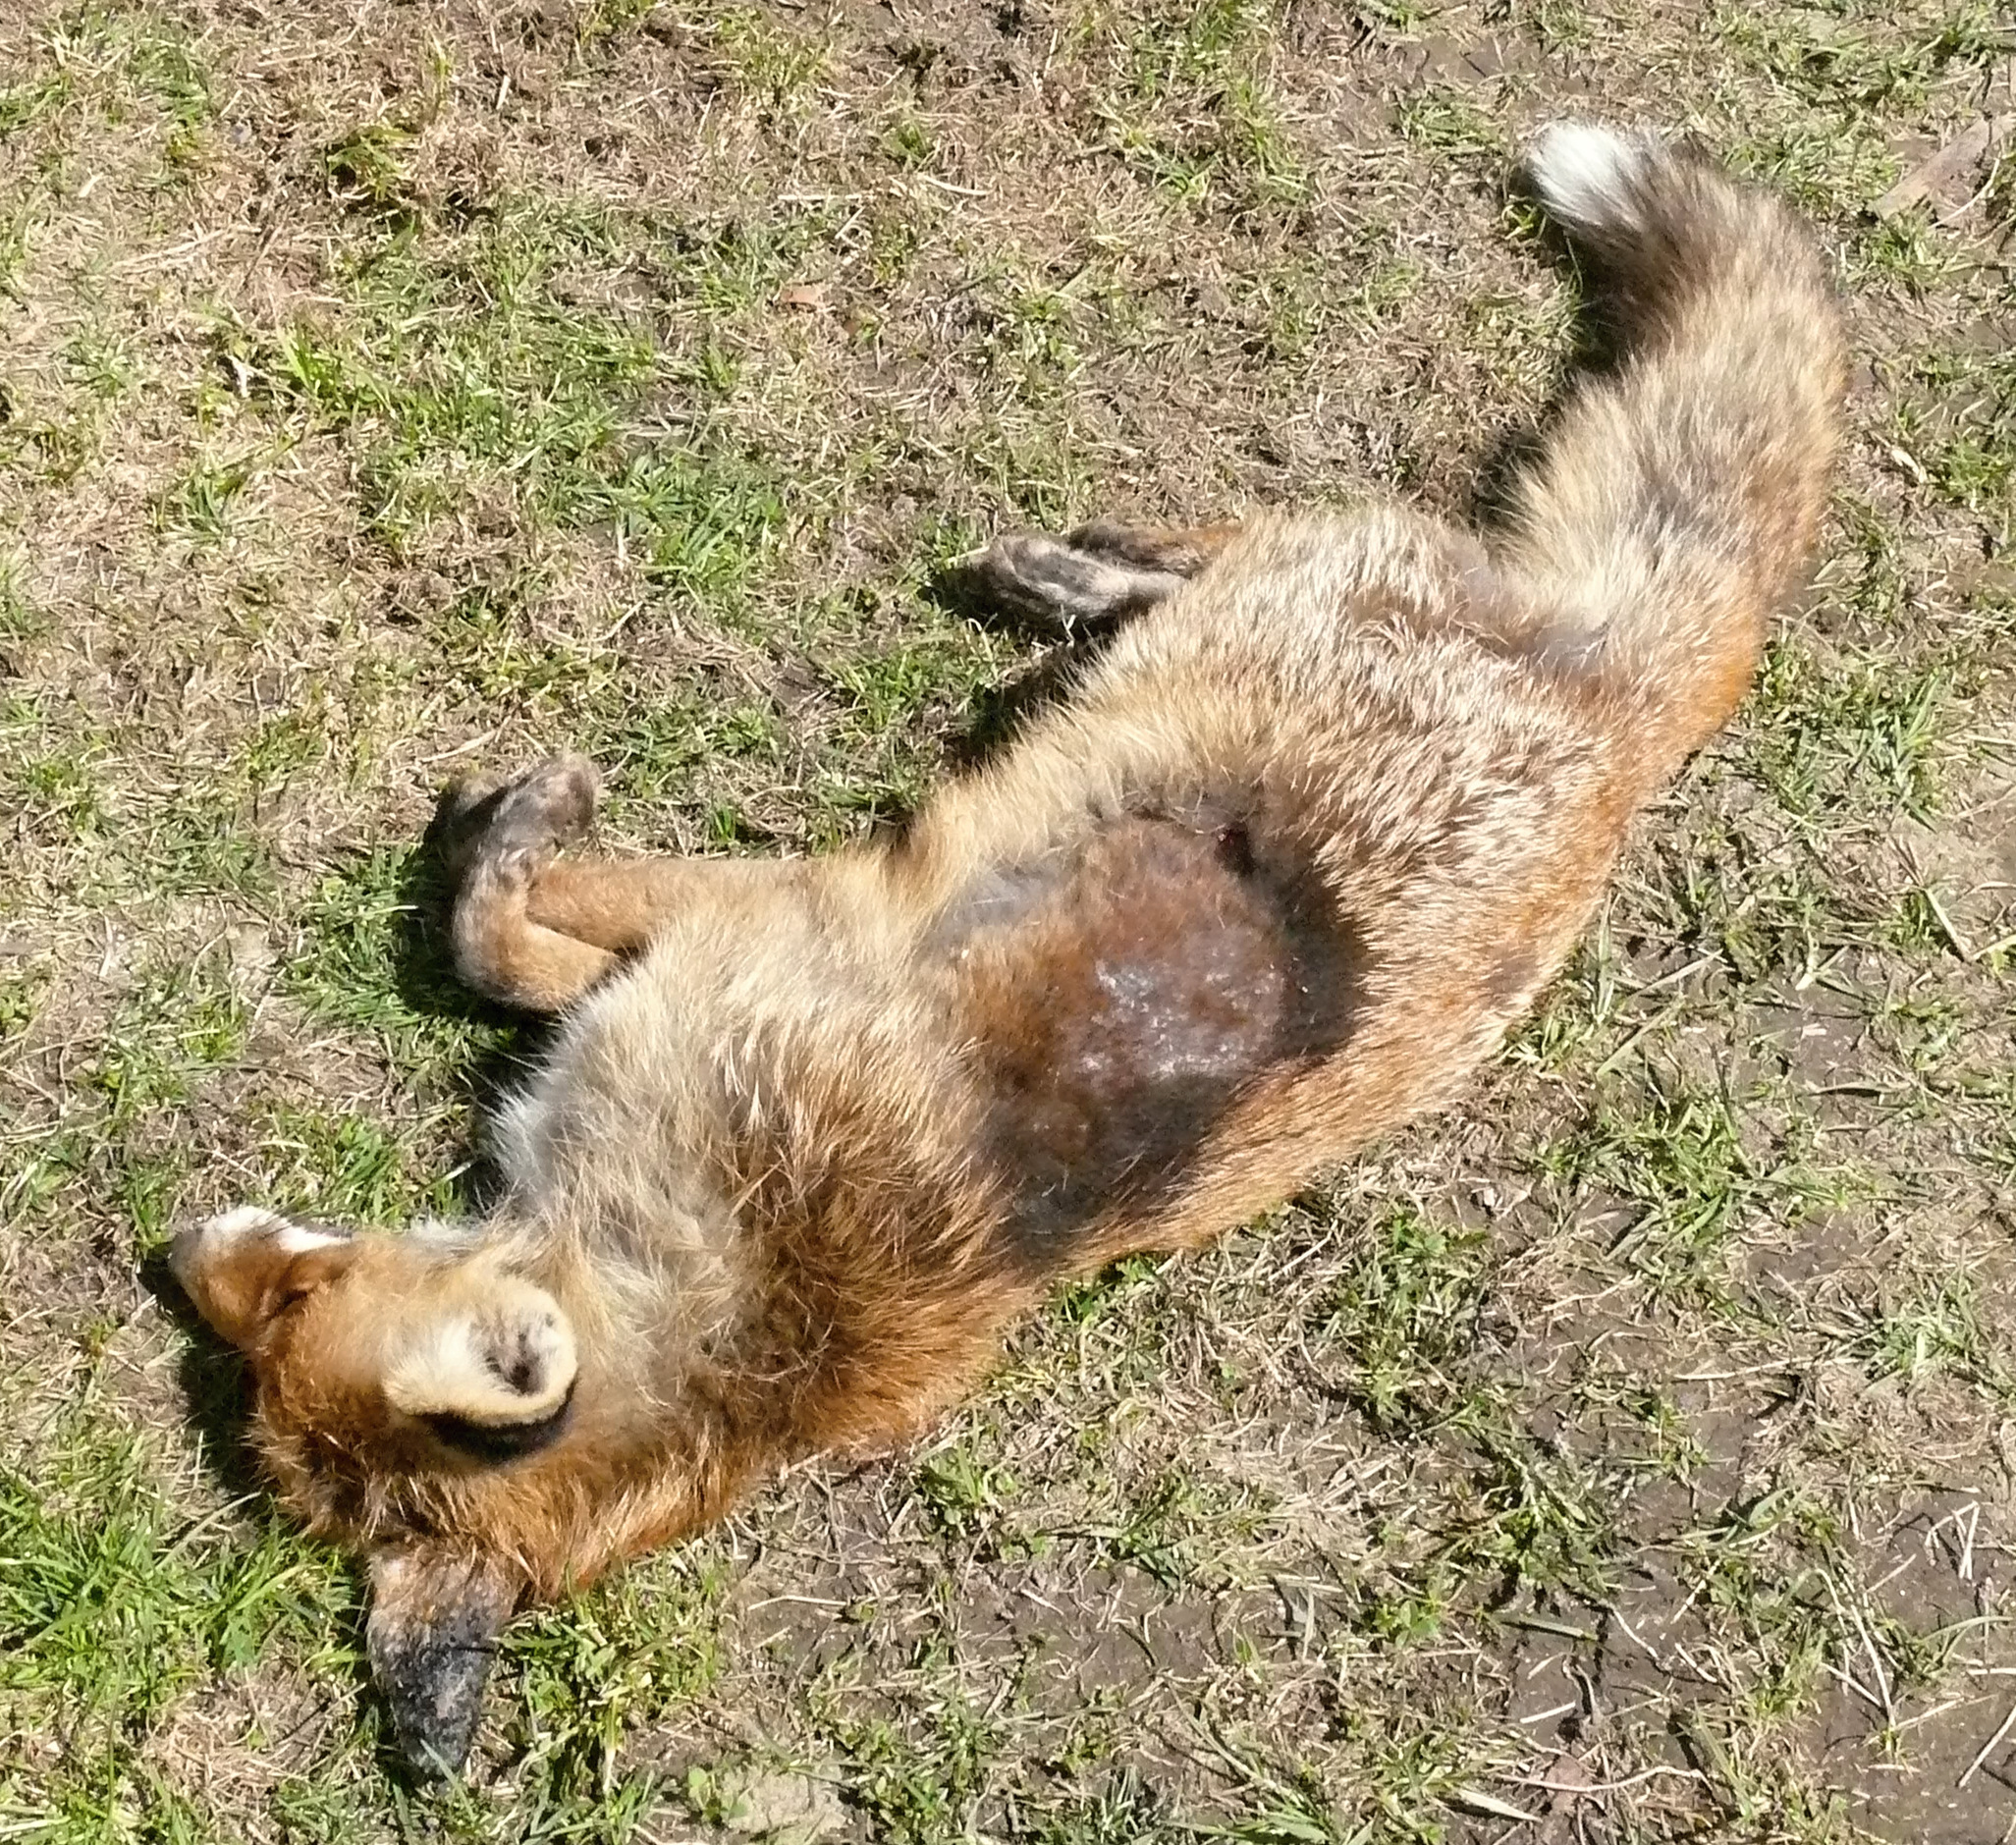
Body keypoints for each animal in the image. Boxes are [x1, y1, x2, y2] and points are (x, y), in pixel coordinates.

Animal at [173, 126, 1846, 1774]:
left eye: (303, 1287)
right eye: (257, 1357)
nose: (186, 1245)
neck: (748, 1292)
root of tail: (1623, 718)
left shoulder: (752, 923)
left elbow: (490, 940)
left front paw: (517, 821)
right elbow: (519, 959)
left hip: (1294, 585)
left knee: (1270, 529)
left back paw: (1079, 572)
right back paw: (1074, 577)